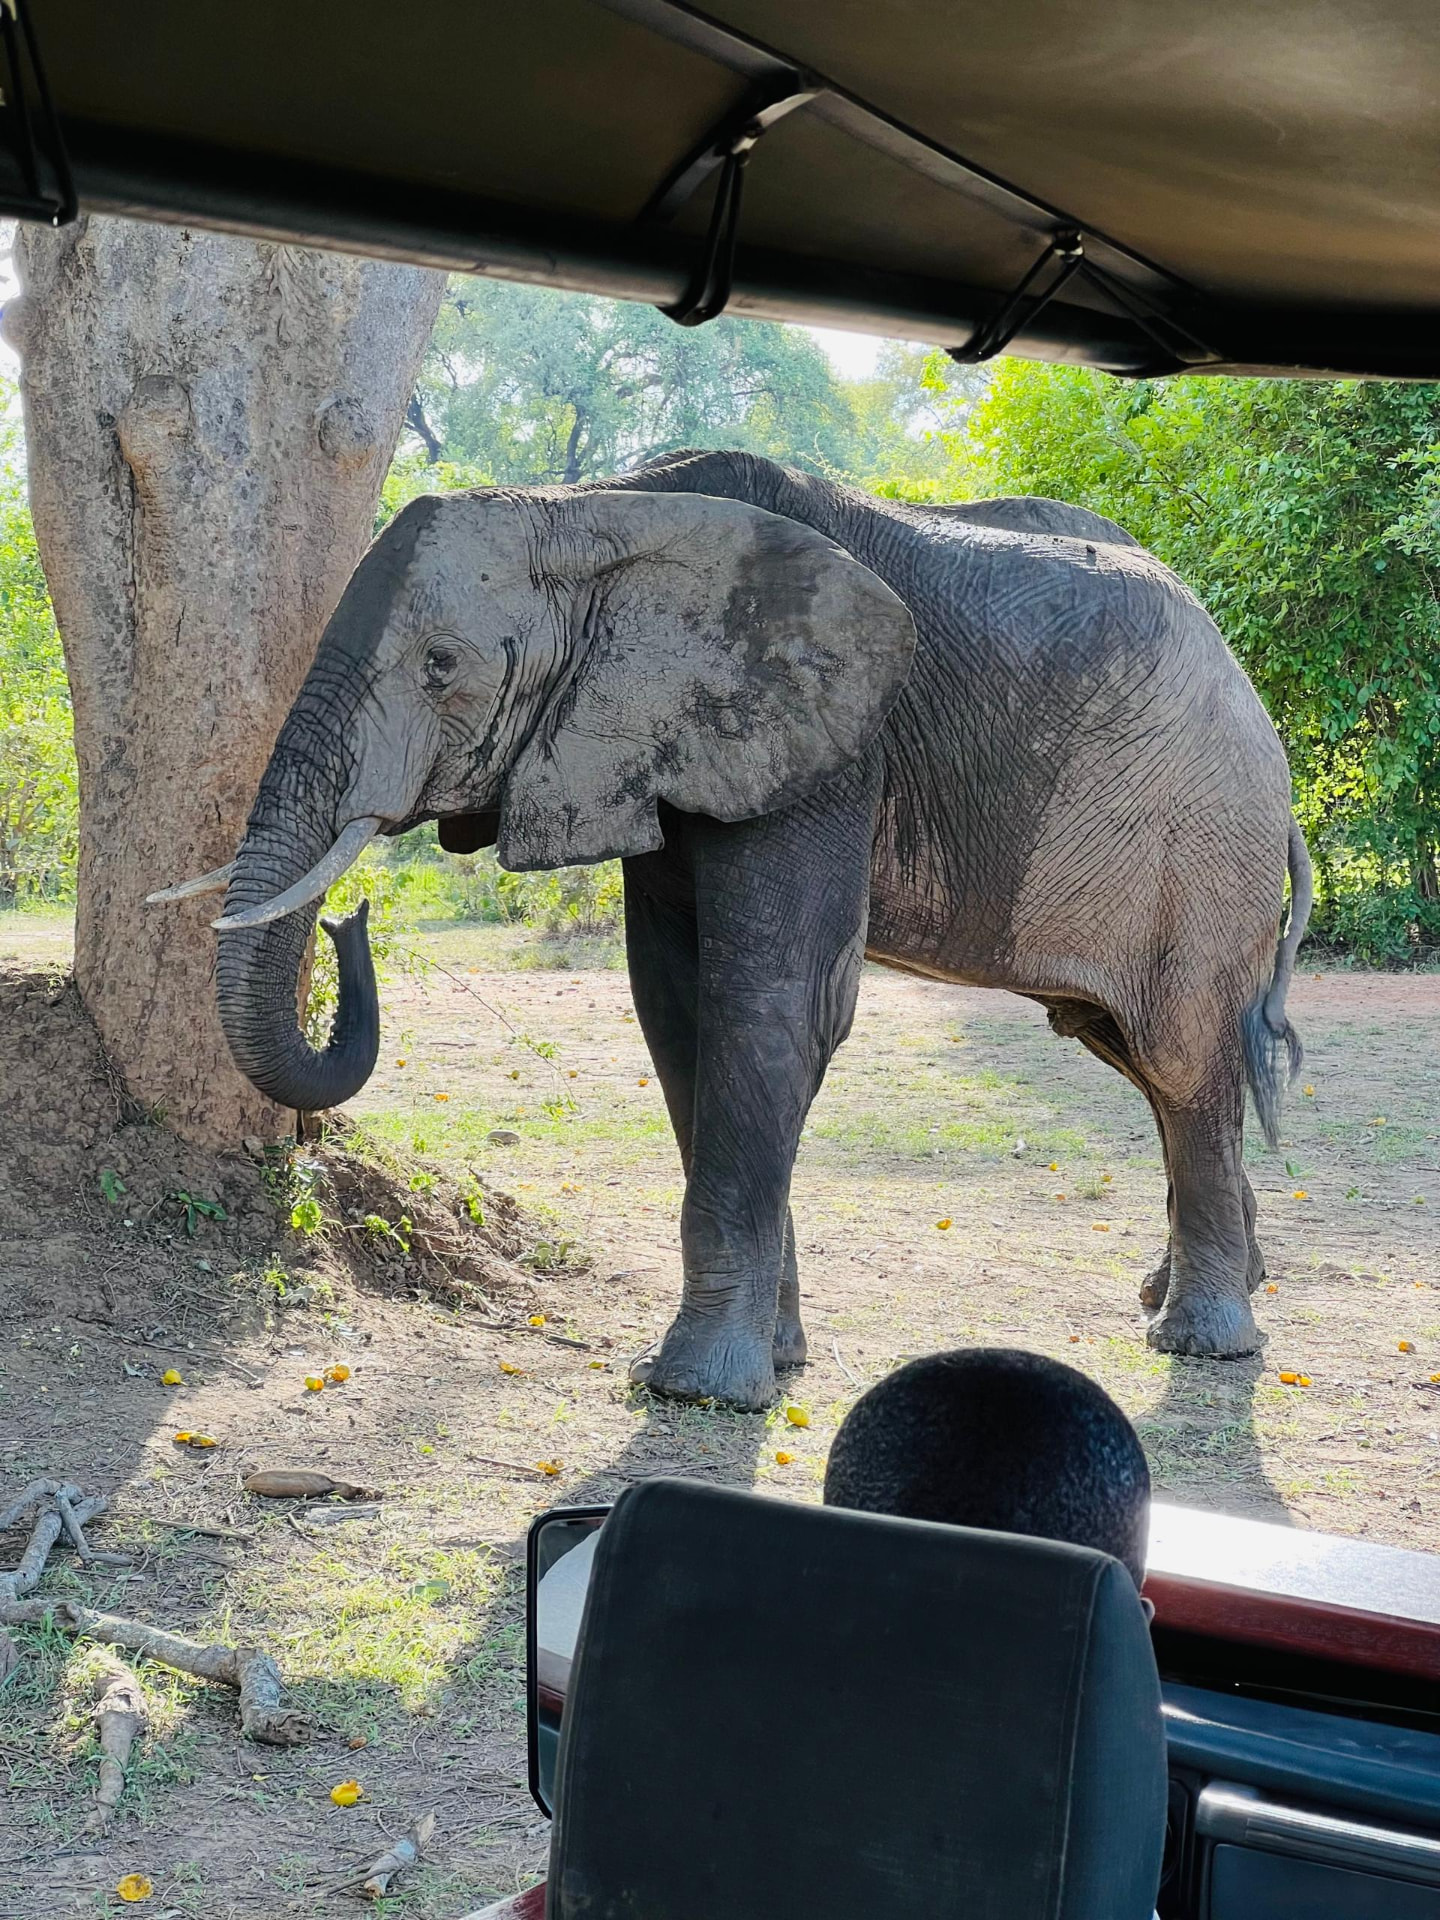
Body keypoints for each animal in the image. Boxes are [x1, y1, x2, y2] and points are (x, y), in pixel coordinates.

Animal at [181, 449, 1311, 1411]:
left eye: (441, 666)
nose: (351, 920)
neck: (597, 508)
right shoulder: (667, 750)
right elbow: (676, 1015)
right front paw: (773, 1362)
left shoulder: (829, 744)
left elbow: (772, 1009)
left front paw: (697, 1391)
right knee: (1131, 1050)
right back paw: (1196, 1289)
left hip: (1204, 842)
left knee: (1180, 1051)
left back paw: (1202, 1339)